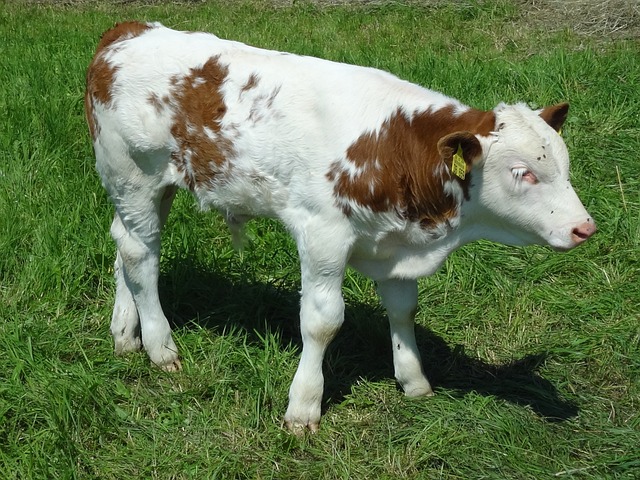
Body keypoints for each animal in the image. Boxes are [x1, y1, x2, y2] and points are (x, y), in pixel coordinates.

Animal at [84, 22, 596, 434]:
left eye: (565, 165)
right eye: (522, 172)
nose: (584, 228)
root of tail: (129, 29)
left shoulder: (395, 245)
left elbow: (403, 309)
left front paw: (414, 381)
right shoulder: (323, 234)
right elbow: (322, 321)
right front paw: (303, 407)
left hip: (150, 188)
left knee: (128, 244)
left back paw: (124, 334)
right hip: (132, 174)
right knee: (141, 255)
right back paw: (159, 346)